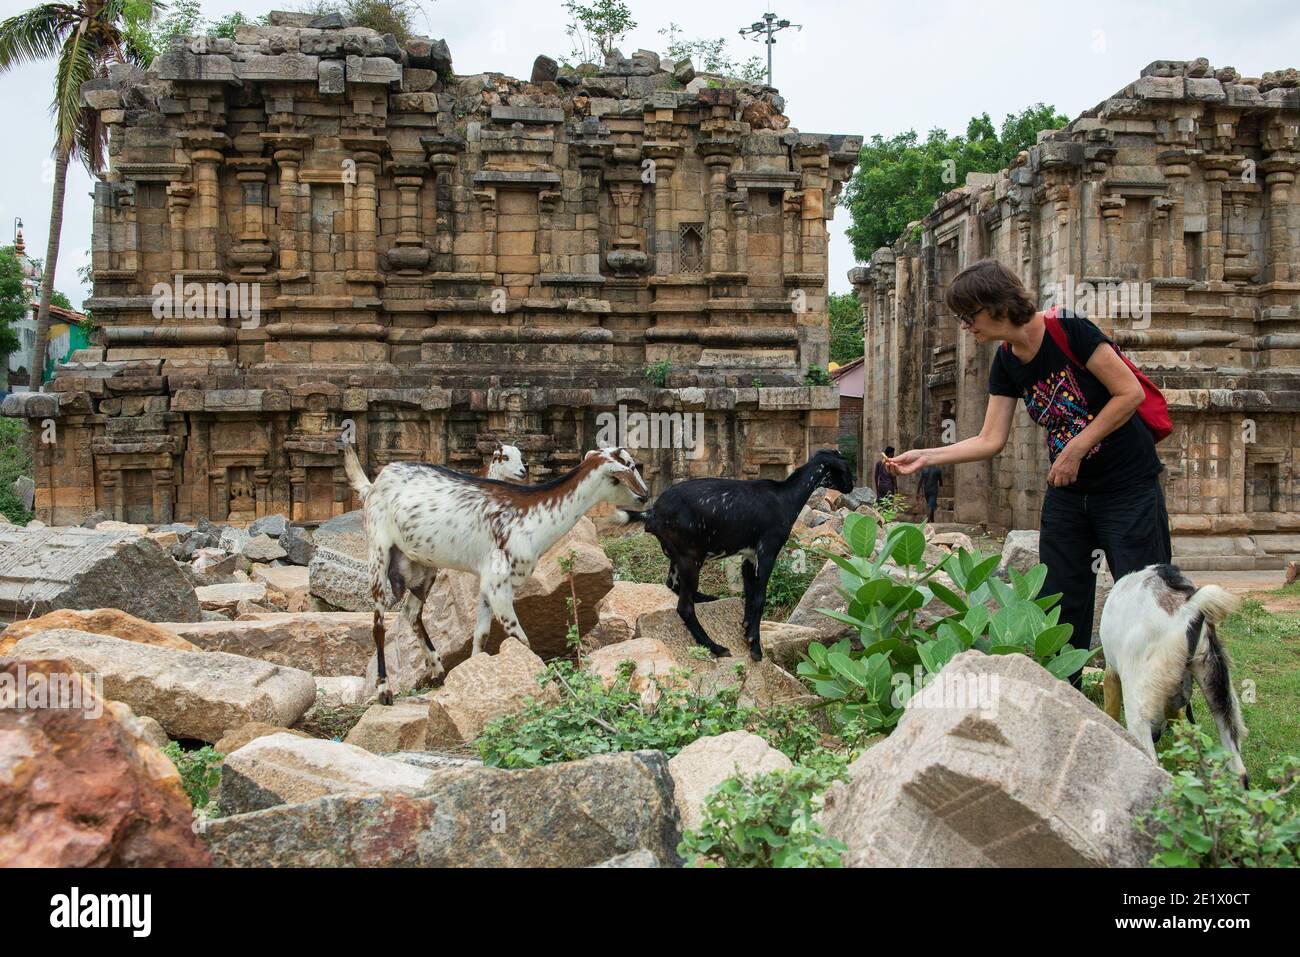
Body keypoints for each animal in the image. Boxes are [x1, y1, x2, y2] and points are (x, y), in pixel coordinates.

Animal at [343, 442, 650, 702]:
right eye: (629, 466)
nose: (645, 496)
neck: (532, 517)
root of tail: (374, 485)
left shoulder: (487, 584)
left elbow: (481, 635)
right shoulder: (499, 586)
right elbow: (520, 639)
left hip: (423, 566)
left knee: (411, 613)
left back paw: (437, 669)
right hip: (378, 552)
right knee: (379, 624)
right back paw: (385, 690)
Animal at [618, 447, 852, 657]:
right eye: (845, 470)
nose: (851, 485)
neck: (785, 496)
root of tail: (652, 513)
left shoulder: (749, 557)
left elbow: (749, 594)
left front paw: (748, 628)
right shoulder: (767, 552)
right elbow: (760, 598)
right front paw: (755, 646)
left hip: (678, 557)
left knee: (672, 584)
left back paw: (707, 599)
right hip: (690, 558)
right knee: (684, 607)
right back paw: (715, 647)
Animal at [1097, 564, 1248, 780]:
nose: (1156, 736)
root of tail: (1189, 607)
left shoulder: (1111, 670)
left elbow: (1110, 712)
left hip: (1137, 701)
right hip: (1217, 685)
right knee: (1239, 769)